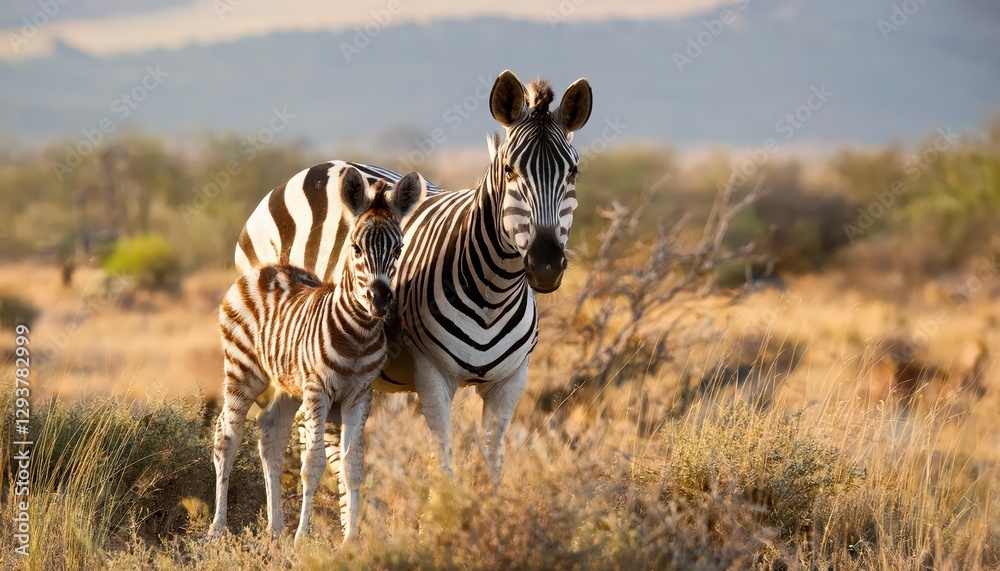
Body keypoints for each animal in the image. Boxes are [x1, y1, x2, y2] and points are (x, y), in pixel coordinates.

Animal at [209, 167, 426, 544]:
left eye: (399, 248)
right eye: (355, 247)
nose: (380, 298)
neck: (357, 336)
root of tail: (265, 268)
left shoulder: (360, 394)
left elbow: (354, 465)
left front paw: (351, 540)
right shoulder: (317, 390)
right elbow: (313, 464)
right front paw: (302, 538)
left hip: (286, 382)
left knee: (270, 433)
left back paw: (274, 530)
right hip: (242, 368)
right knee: (226, 436)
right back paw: (218, 529)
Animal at [235, 70, 593, 485]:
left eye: (573, 172)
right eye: (509, 171)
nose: (546, 263)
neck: (496, 290)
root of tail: (316, 169)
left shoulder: (511, 381)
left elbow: (493, 460)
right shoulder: (432, 375)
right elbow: (444, 462)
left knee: (280, 428)